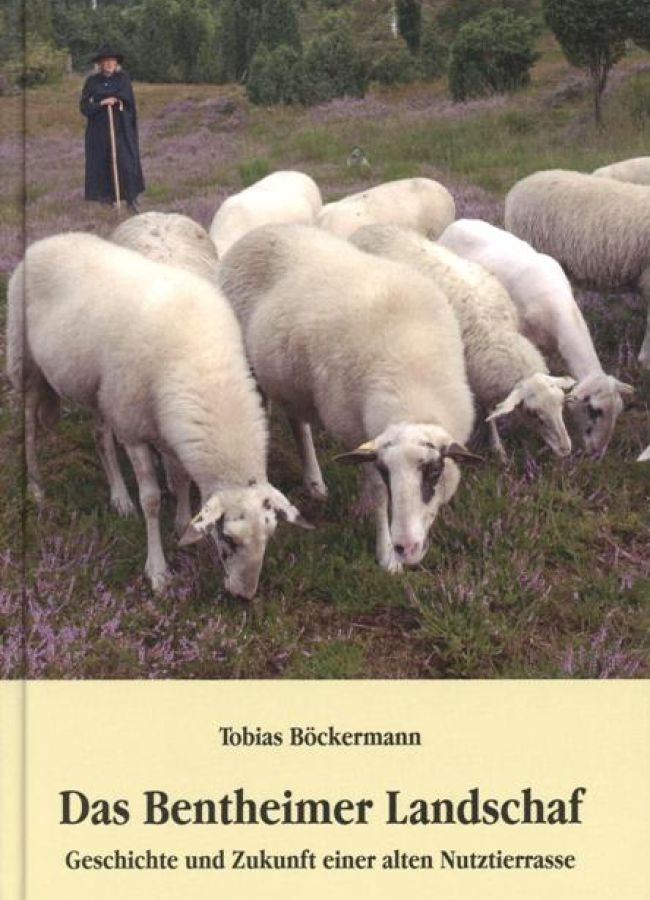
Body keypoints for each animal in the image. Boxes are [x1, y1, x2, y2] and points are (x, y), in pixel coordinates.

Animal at [6, 232, 309, 598]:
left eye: (269, 535)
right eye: (228, 538)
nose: (244, 595)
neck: (204, 367)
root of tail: (47, 241)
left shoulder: (166, 428)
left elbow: (179, 478)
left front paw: (182, 522)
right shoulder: (135, 430)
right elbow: (150, 500)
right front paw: (158, 570)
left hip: (101, 389)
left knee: (100, 436)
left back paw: (119, 498)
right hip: (26, 363)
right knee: (29, 428)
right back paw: (36, 487)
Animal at [217, 223, 480, 574]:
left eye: (434, 472)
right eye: (386, 471)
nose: (407, 547)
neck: (411, 379)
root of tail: (262, 229)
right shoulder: (359, 433)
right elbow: (378, 496)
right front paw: (387, 556)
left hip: (292, 379)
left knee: (297, 422)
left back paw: (315, 484)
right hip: (251, 367)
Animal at [351, 224, 575, 459]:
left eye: (561, 403)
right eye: (533, 414)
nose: (566, 450)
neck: (495, 333)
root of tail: (366, 228)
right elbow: (488, 408)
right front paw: (497, 446)